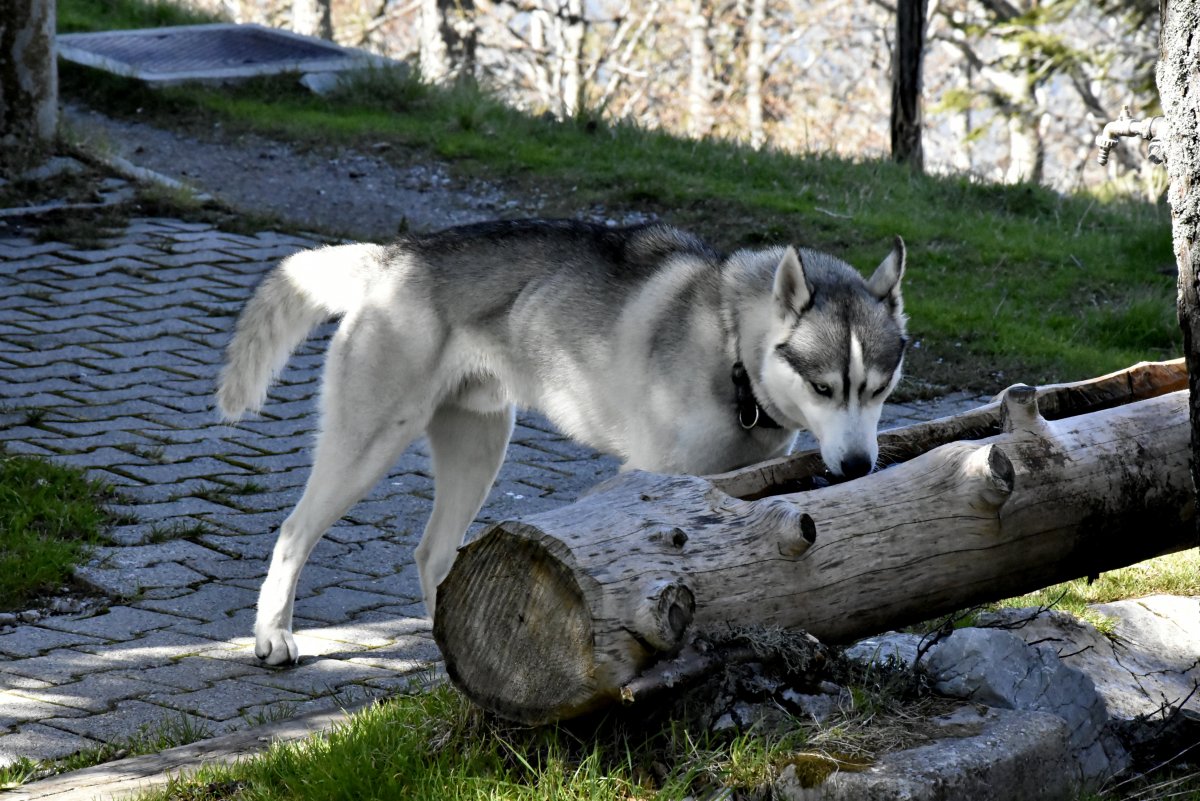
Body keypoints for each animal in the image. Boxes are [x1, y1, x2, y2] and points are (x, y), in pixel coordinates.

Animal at [218, 219, 907, 661]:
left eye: (877, 389)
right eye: (822, 388)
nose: (856, 466)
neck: (730, 343)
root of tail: (395, 255)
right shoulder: (655, 480)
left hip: (481, 448)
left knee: (433, 554)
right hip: (369, 445)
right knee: (294, 532)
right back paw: (272, 634)